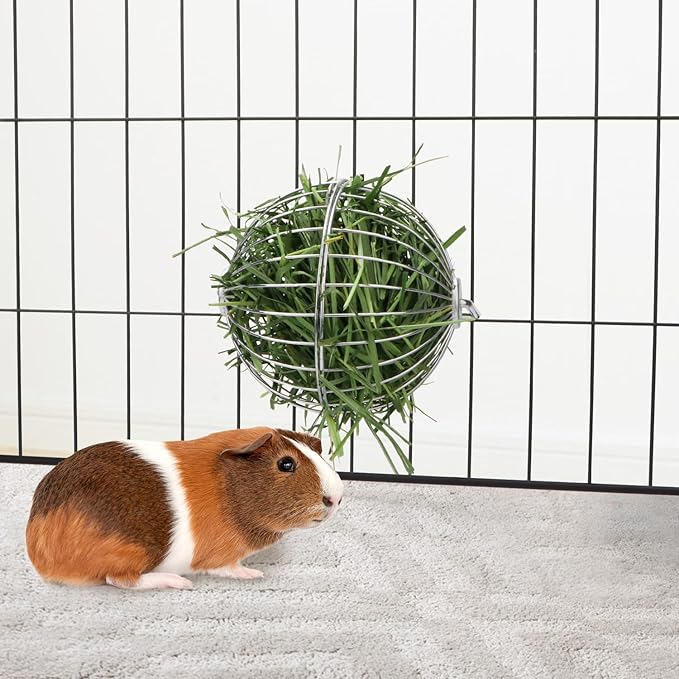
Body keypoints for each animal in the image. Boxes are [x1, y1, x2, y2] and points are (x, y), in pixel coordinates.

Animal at [25, 427, 344, 590]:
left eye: (318, 453)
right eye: (286, 464)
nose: (336, 497)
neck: (226, 490)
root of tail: (40, 554)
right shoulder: (218, 556)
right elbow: (227, 567)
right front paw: (254, 575)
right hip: (136, 552)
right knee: (121, 580)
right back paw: (178, 582)